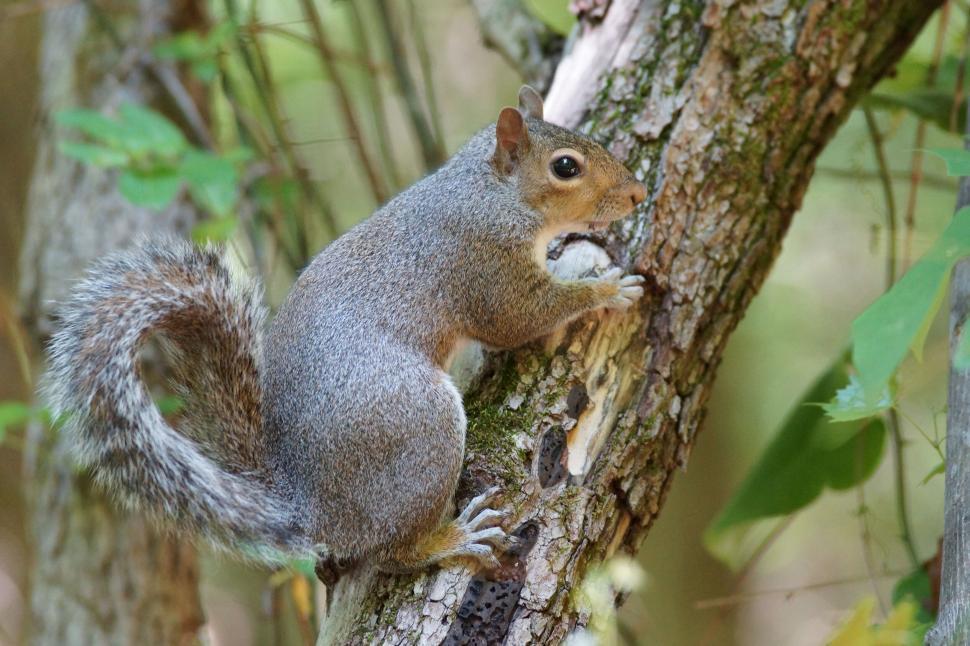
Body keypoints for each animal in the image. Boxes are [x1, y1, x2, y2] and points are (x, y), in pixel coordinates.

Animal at [45, 86, 647, 573]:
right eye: (565, 167)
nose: (638, 195)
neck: (491, 191)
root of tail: (309, 504)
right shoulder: (483, 265)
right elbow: (520, 318)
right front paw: (608, 289)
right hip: (416, 425)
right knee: (391, 553)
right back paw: (450, 539)